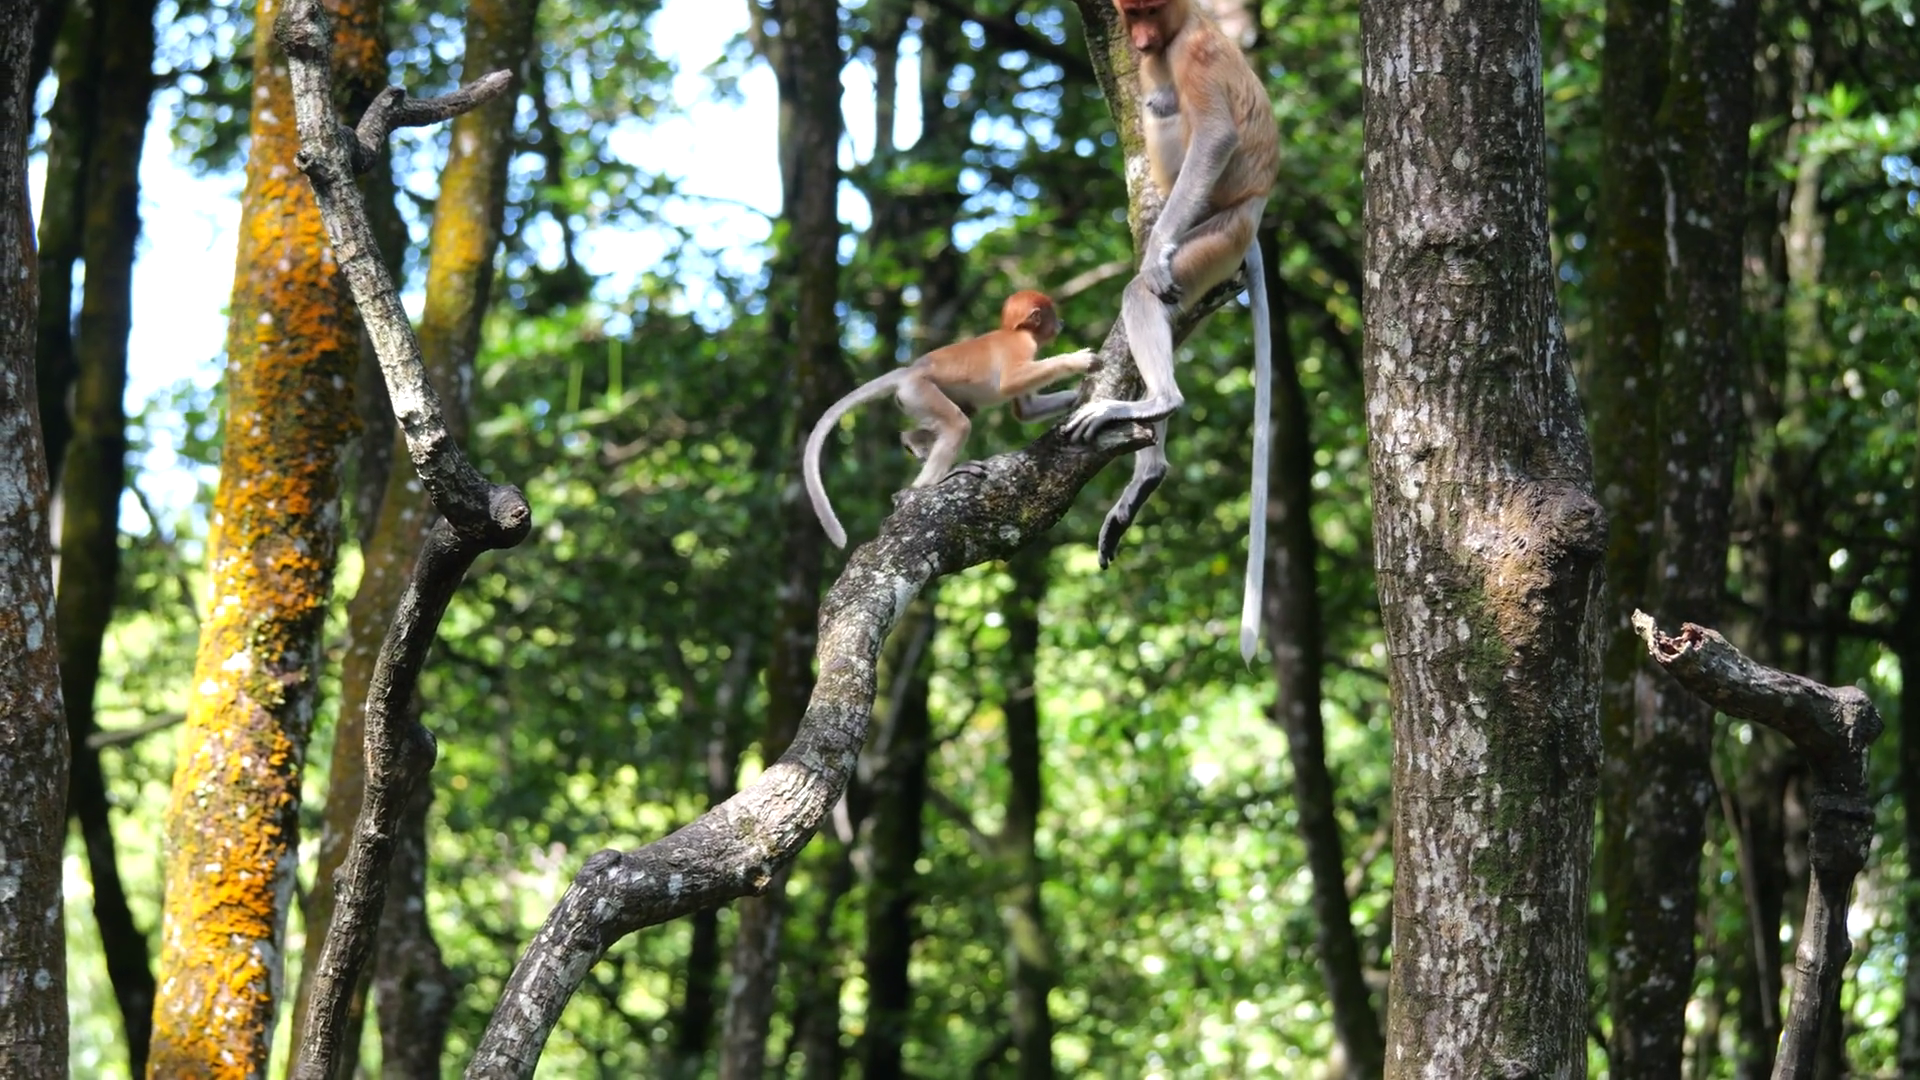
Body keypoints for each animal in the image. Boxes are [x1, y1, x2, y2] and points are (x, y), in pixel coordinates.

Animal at [804, 290, 1096, 549]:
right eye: (1051, 313)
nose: (1060, 323)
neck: (1014, 331)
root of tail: (910, 371)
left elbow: (1025, 410)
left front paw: (1078, 397)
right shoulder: (1022, 346)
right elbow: (1010, 381)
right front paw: (1079, 361)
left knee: (962, 415)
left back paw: (912, 442)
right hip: (920, 392)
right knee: (959, 423)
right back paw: (932, 481)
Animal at [1060, 0, 1279, 664]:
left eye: (1149, 12)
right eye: (1129, 13)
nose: (1137, 40)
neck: (1180, 24)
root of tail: (1253, 215)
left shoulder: (1196, 54)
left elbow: (1216, 136)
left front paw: (1154, 252)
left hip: (1213, 237)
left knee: (1143, 293)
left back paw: (1157, 400)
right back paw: (1146, 471)